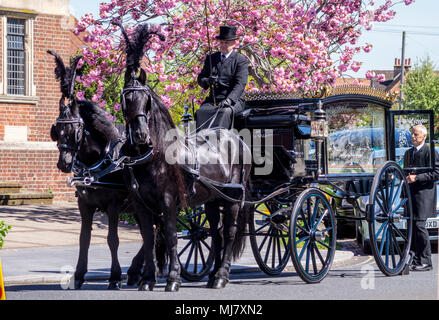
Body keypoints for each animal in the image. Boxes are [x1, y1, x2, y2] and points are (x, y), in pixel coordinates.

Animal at [47, 50, 160, 290]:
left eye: (76, 130)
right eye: (57, 129)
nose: (64, 163)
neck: (98, 163)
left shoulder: (113, 205)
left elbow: (112, 239)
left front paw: (115, 277)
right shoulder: (85, 204)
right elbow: (84, 239)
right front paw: (79, 275)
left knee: (153, 232)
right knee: (152, 233)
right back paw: (139, 271)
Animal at [117, 21, 253, 288]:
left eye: (145, 99)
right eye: (125, 98)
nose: (139, 135)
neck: (152, 156)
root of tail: (237, 138)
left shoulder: (168, 201)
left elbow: (169, 236)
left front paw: (173, 278)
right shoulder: (140, 204)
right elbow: (148, 238)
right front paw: (147, 279)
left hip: (233, 198)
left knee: (230, 232)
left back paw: (221, 275)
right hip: (212, 198)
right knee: (216, 232)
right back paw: (212, 274)